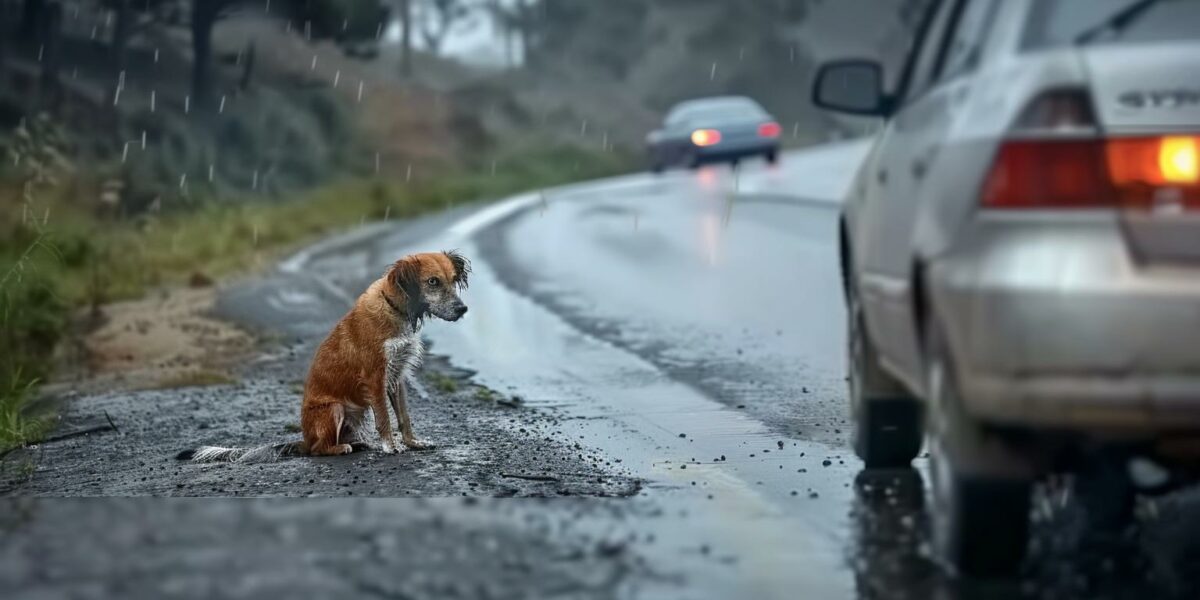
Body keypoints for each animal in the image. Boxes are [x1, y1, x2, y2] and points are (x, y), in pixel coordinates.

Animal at [180, 250, 470, 460]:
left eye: (452, 280)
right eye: (432, 282)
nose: (463, 309)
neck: (394, 309)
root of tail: (305, 440)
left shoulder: (396, 377)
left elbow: (404, 416)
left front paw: (413, 442)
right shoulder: (375, 376)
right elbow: (385, 418)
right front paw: (391, 446)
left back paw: (358, 444)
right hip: (334, 408)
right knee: (320, 449)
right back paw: (341, 449)